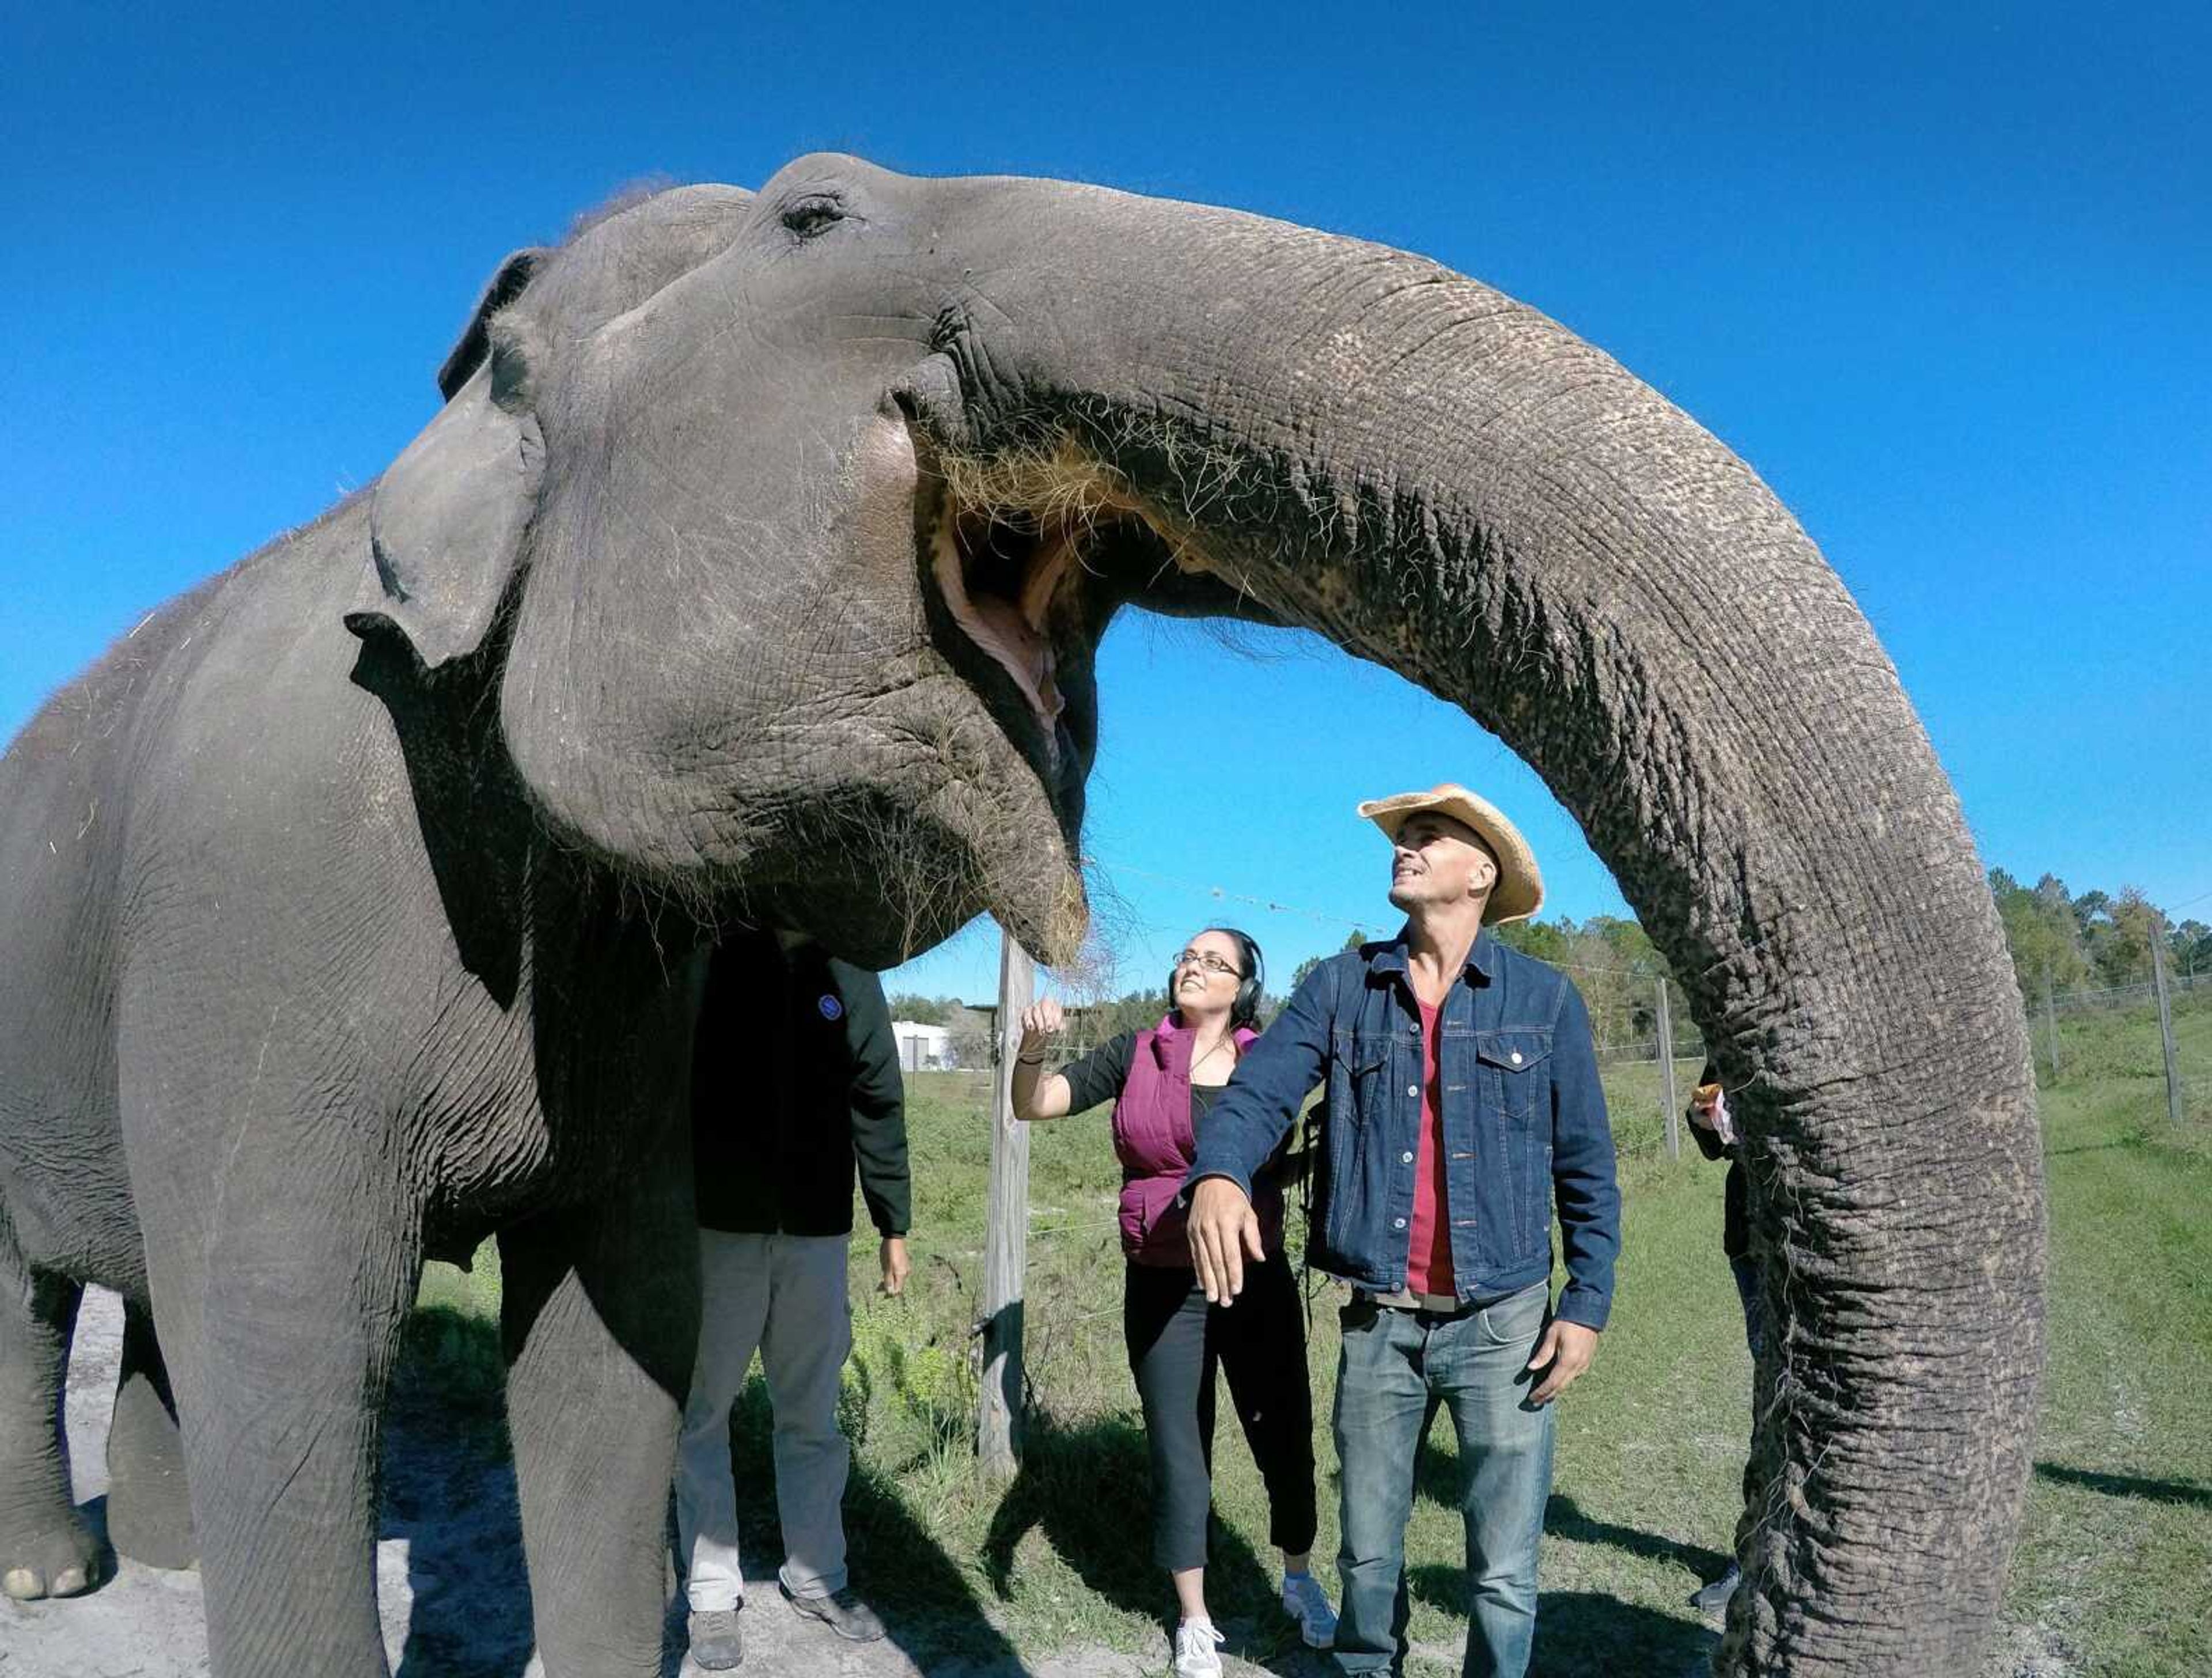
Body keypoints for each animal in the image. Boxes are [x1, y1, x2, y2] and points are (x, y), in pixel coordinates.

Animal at [0, 157, 2035, 1678]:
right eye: (821, 210)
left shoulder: (618, 1027)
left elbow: (611, 1350)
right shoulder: (260, 917)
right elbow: (298, 1347)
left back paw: (155, 1557)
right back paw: (61, 1574)